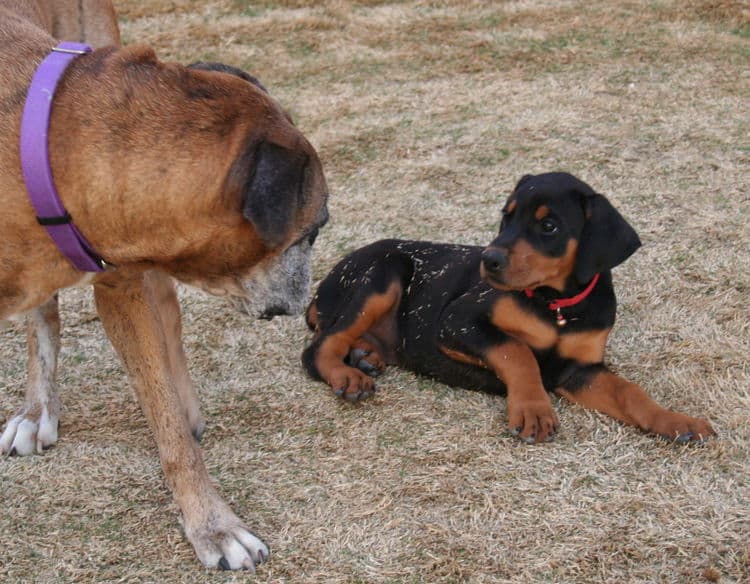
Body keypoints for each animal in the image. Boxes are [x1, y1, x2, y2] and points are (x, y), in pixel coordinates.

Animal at [0, 0, 328, 572]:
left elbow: (167, 421)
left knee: (165, 312)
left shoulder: (120, 277)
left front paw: (214, 527)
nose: (303, 300)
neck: (43, 143)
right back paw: (37, 410)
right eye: (314, 229)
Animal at [306, 172, 716, 442]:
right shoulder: (457, 320)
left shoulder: (579, 370)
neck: (557, 305)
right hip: (384, 271)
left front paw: (675, 421)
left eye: (549, 226)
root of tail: (322, 285)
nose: (489, 260)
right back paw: (346, 374)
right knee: (319, 345)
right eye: (507, 215)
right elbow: (517, 351)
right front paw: (533, 408)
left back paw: (365, 356)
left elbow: (630, 391)